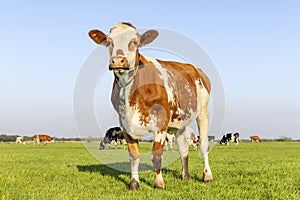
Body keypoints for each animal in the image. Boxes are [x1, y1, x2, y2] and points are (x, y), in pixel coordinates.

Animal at [88, 22, 212, 190]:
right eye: (108, 42)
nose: (118, 61)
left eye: (134, 42)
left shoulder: (161, 122)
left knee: (204, 145)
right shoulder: (124, 123)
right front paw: (134, 184)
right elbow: (134, 156)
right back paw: (185, 176)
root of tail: (195, 69)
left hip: (203, 113)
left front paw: (159, 184)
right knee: (183, 149)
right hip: (180, 122)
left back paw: (207, 176)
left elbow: (156, 155)